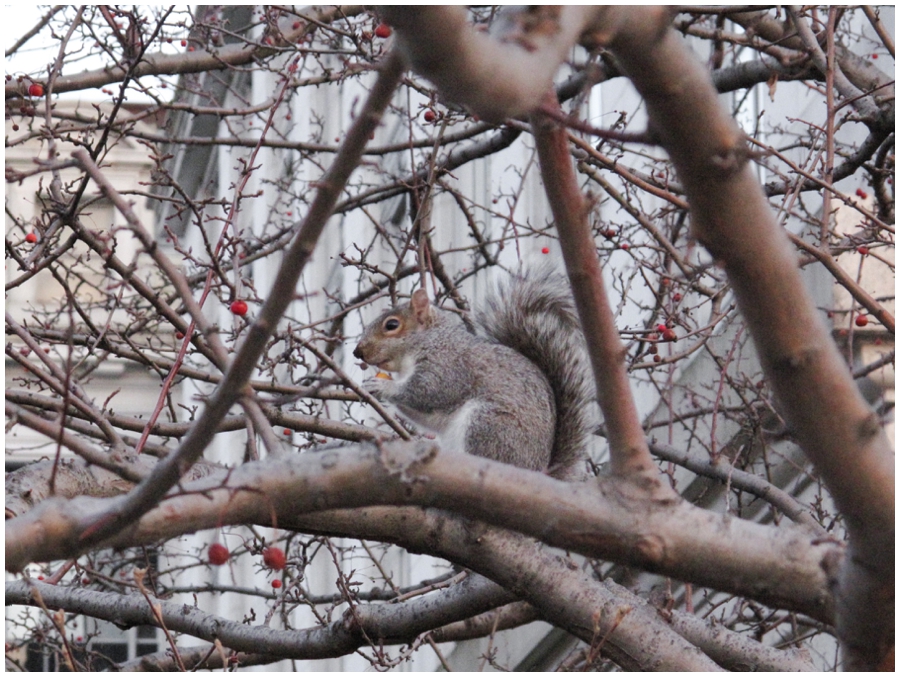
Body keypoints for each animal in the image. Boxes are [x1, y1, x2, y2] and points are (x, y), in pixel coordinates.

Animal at [356, 272, 596, 478]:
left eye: (392, 325)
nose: (357, 351)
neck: (431, 340)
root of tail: (541, 472)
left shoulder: (447, 366)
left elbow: (427, 391)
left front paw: (382, 387)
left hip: (488, 425)